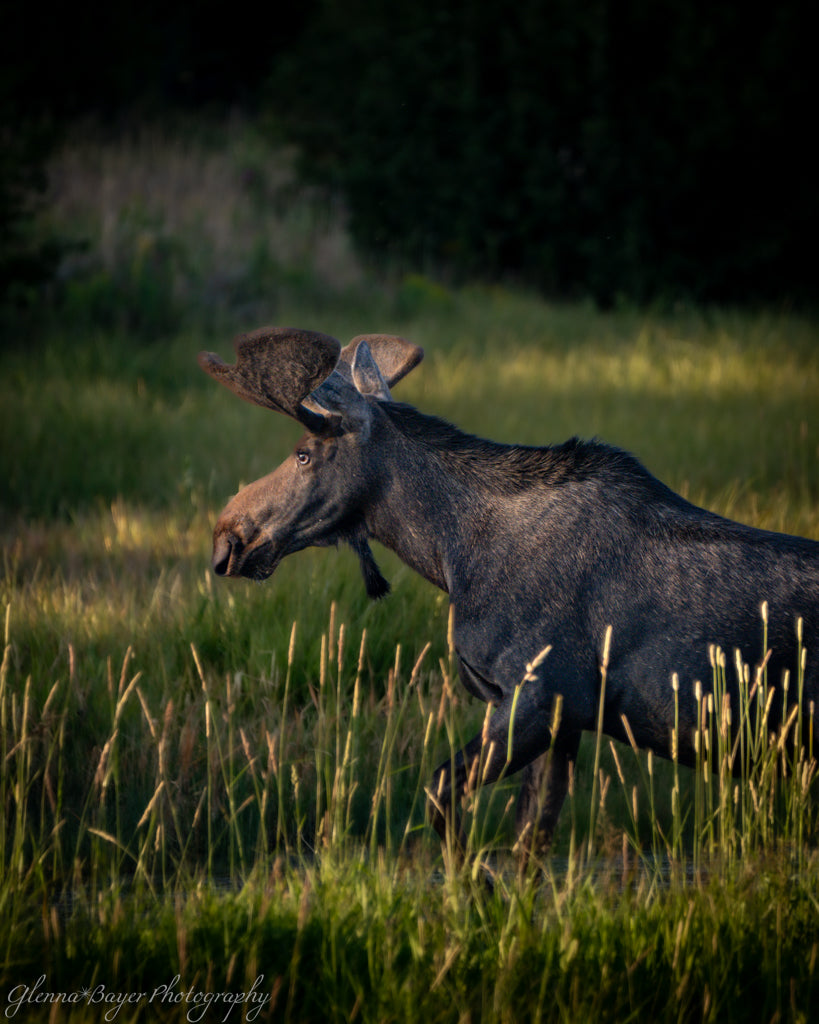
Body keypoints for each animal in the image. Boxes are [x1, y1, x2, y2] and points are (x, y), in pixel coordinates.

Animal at [198, 326, 819, 855]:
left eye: (304, 453)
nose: (226, 538)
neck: (451, 555)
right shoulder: (568, 719)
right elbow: (530, 842)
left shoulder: (537, 696)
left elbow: (443, 794)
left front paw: (470, 888)